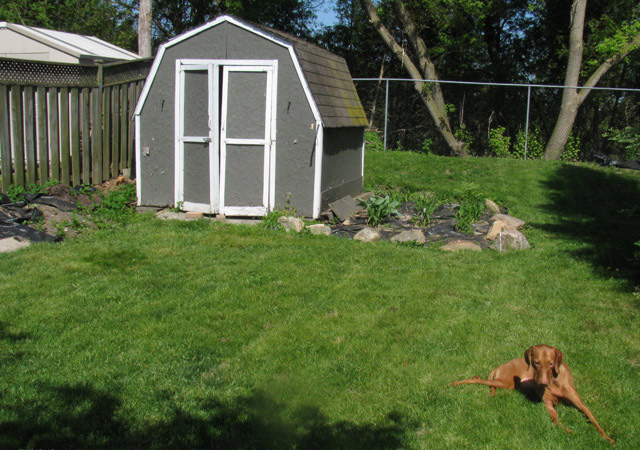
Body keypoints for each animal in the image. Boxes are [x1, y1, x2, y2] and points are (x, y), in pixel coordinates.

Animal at [450, 344, 616, 442]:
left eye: (551, 363)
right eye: (536, 363)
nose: (542, 383)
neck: (554, 382)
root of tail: (500, 366)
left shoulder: (581, 405)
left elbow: (593, 420)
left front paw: (608, 439)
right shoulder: (548, 405)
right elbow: (556, 422)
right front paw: (571, 432)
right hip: (504, 382)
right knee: (476, 379)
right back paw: (455, 383)